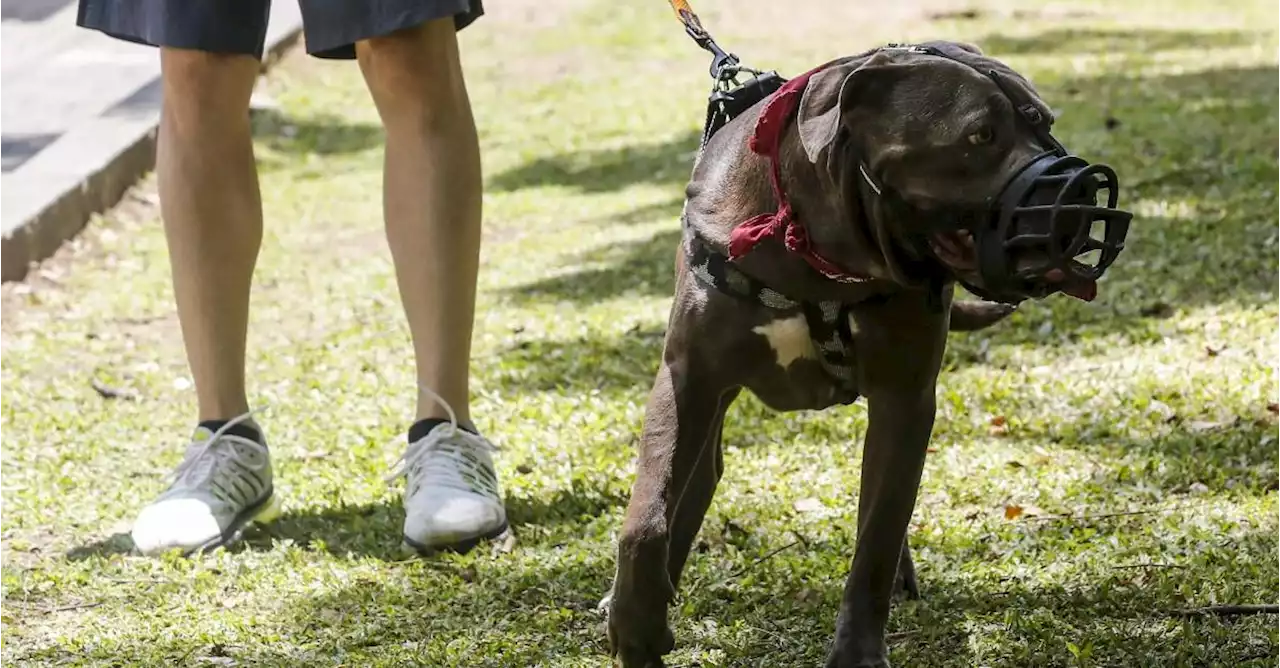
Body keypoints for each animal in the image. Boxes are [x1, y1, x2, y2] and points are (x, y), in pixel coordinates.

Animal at [601, 41, 1131, 665]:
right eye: (979, 135)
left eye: (1045, 121)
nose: (1084, 192)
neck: (818, 256)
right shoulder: (688, 378)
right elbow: (647, 515)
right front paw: (635, 624)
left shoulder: (904, 400)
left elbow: (876, 536)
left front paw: (857, 650)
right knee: (695, 482)